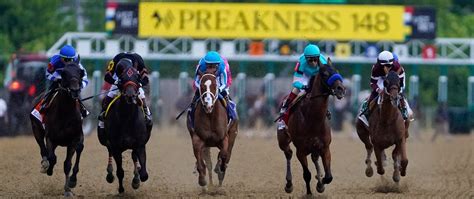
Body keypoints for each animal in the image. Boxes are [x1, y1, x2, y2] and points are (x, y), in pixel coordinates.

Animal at [29, 63, 85, 197]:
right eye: (63, 73)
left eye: (80, 72)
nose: (75, 90)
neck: (65, 113)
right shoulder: (50, 138)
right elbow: (52, 158)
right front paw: (49, 169)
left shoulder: (74, 139)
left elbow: (68, 163)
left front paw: (69, 187)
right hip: (36, 129)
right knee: (43, 148)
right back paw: (45, 164)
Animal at [100, 61, 151, 193]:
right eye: (122, 78)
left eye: (137, 77)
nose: (130, 95)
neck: (127, 119)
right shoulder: (116, 147)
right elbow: (120, 171)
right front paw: (121, 189)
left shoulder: (140, 145)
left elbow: (144, 174)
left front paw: (136, 179)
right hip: (104, 140)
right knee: (109, 150)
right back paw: (109, 174)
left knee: (133, 156)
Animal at [278, 58, 344, 194]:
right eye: (325, 74)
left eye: (337, 71)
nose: (341, 89)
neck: (313, 119)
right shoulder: (301, 151)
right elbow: (306, 174)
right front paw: (309, 192)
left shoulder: (325, 147)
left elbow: (329, 176)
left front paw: (320, 182)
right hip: (283, 141)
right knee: (288, 153)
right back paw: (289, 184)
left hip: (314, 148)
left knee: (314, 158)